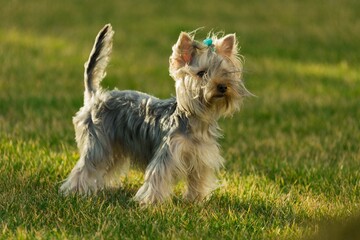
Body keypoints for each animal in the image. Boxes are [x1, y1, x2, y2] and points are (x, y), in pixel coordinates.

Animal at [59, 23, 250, 204]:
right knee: (86, 167)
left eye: (225, 73)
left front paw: (196, 200)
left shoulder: (201, 158)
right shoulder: (167, 155)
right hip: (98, 142)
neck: (196, 120)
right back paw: (74, 192)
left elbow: (198, 180)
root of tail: (96, 96)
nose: (223, 86)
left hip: (114, 146)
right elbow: (158, 178)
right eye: (201, 73)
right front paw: (152, 203)